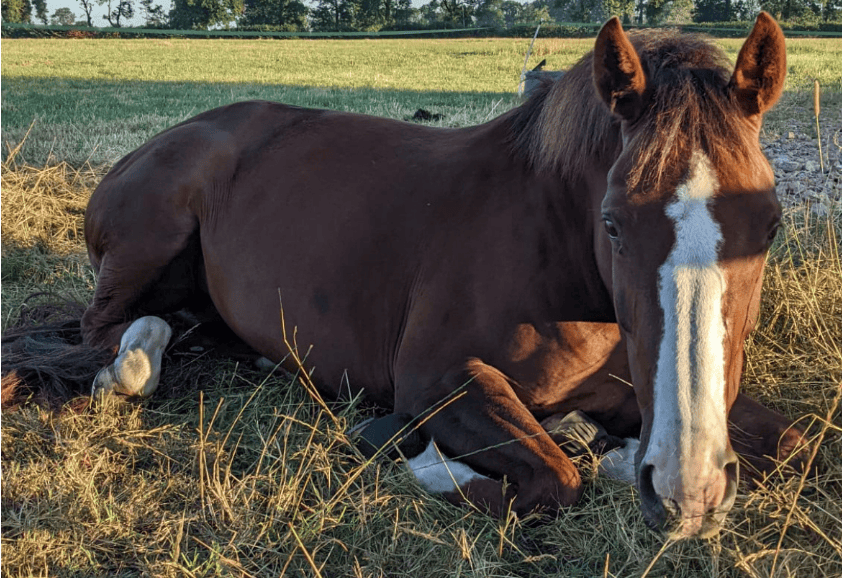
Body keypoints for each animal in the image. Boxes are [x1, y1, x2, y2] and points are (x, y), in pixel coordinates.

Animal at [2, 14, 809, 539]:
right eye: (612, 222)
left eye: (770, 224)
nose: (687, 489)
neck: (557, 252)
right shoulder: (438, 381)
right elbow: (554, 478)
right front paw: (413, 454)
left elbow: (792, 443)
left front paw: (602, 441)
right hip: (147, 243)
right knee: (111, 330)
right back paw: (126, 367)